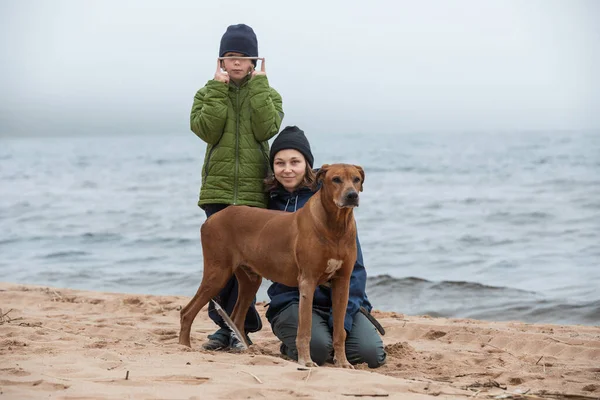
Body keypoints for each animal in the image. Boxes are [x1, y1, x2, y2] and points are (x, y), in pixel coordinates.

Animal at [178, 163, 366, 368]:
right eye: (336, 179)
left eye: (356, 179)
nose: (352, 195)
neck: (335, 226)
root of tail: (211, 219)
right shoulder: (307, 281)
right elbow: (305, 328)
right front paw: (306, 360)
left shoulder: (343, 282)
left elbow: (340, 329)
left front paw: (342, 362)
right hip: (217, 272)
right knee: (187, 312)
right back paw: (184, 346)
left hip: (250, 280)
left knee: (236, 318)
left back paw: (247, 349)